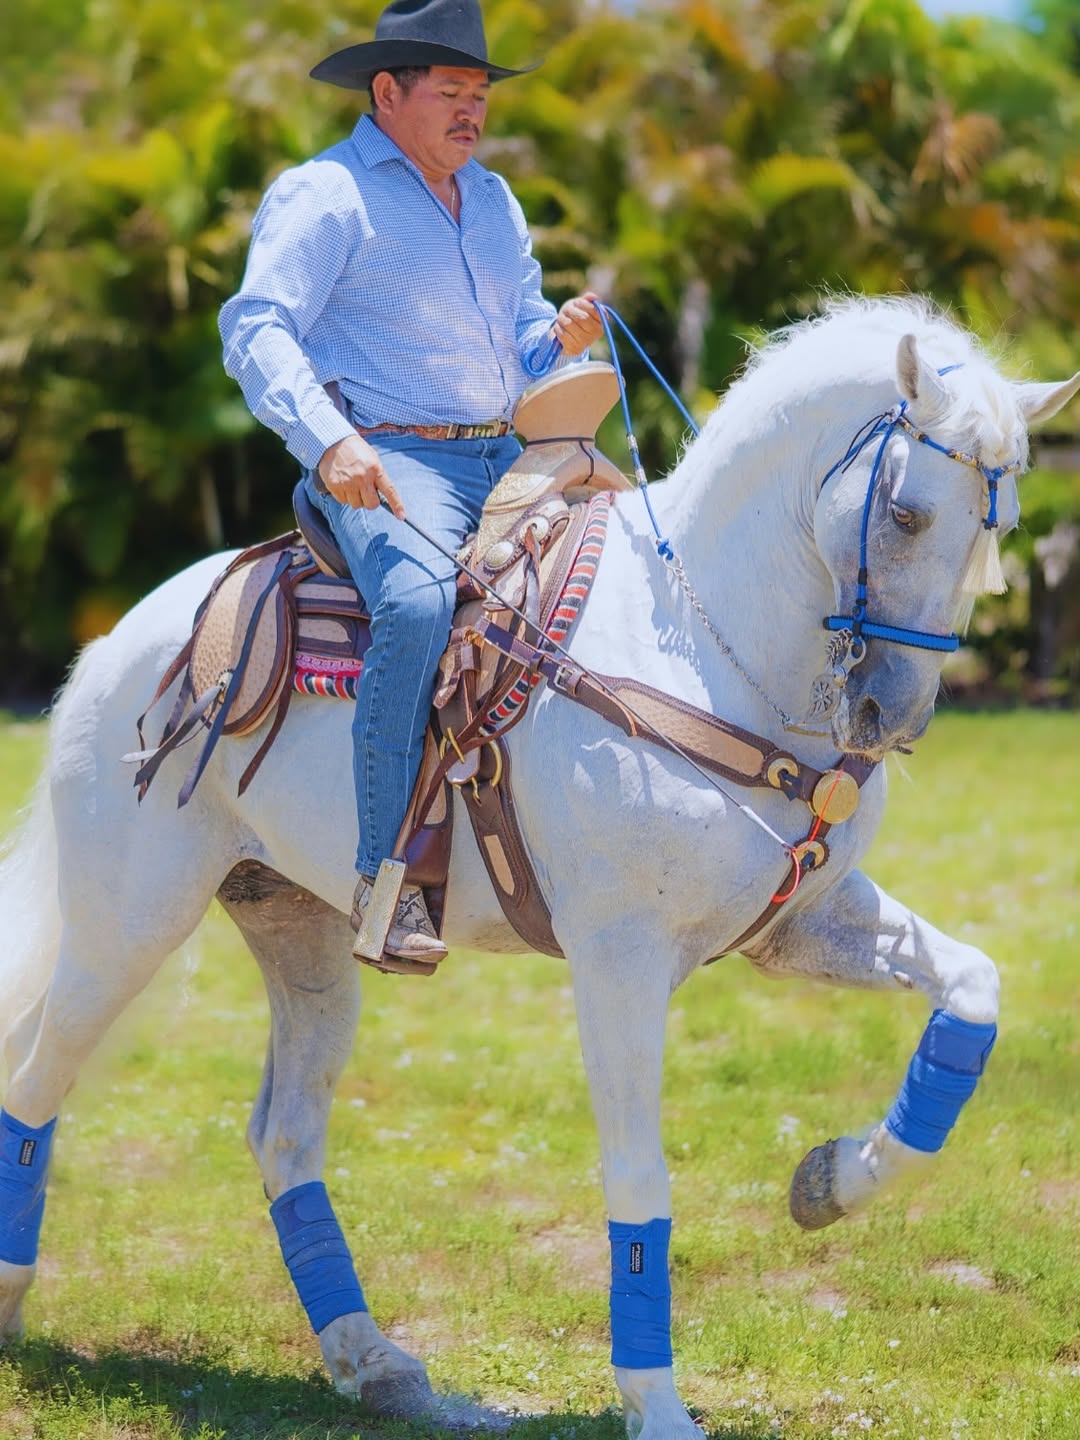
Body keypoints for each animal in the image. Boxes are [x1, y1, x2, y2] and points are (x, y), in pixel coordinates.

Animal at [1, 296, 1076, 1440]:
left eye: (1001, 526)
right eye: (908, 515)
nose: (891, 718)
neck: (698, 646)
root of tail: (118, 643)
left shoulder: (800, 924)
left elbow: (972, 990)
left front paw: (831, 1182)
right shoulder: (619, 962)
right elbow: (639, 1177)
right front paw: (658, 1407)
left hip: (301, 932)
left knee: (283, 1137)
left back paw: (376, 1365)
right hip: (130, 920)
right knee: (37, 1076)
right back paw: (16, 1303)